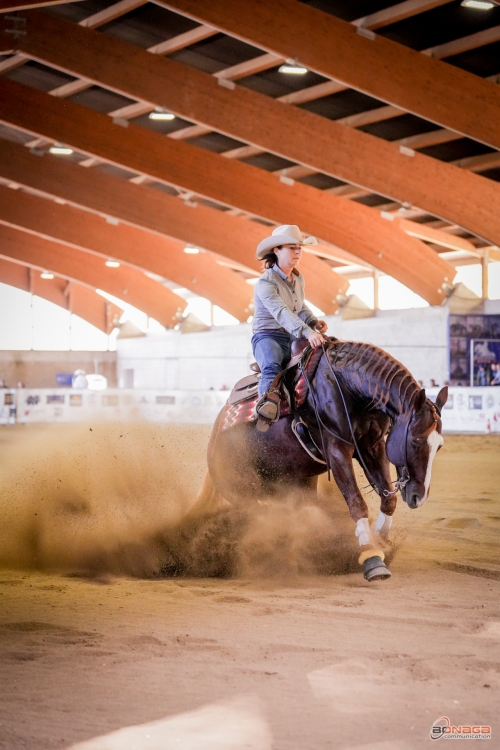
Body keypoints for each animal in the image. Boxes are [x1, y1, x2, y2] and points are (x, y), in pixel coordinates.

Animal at [192, 340, 450, 580]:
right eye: (415, 441)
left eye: (439, 445)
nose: (419, 496)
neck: (347, 386)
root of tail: (213, 445)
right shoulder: (336, 449)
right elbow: (356, 502)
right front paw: (371, 555)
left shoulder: (372, 447)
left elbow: (389, 498)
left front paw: (381, 540)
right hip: (242, 488)